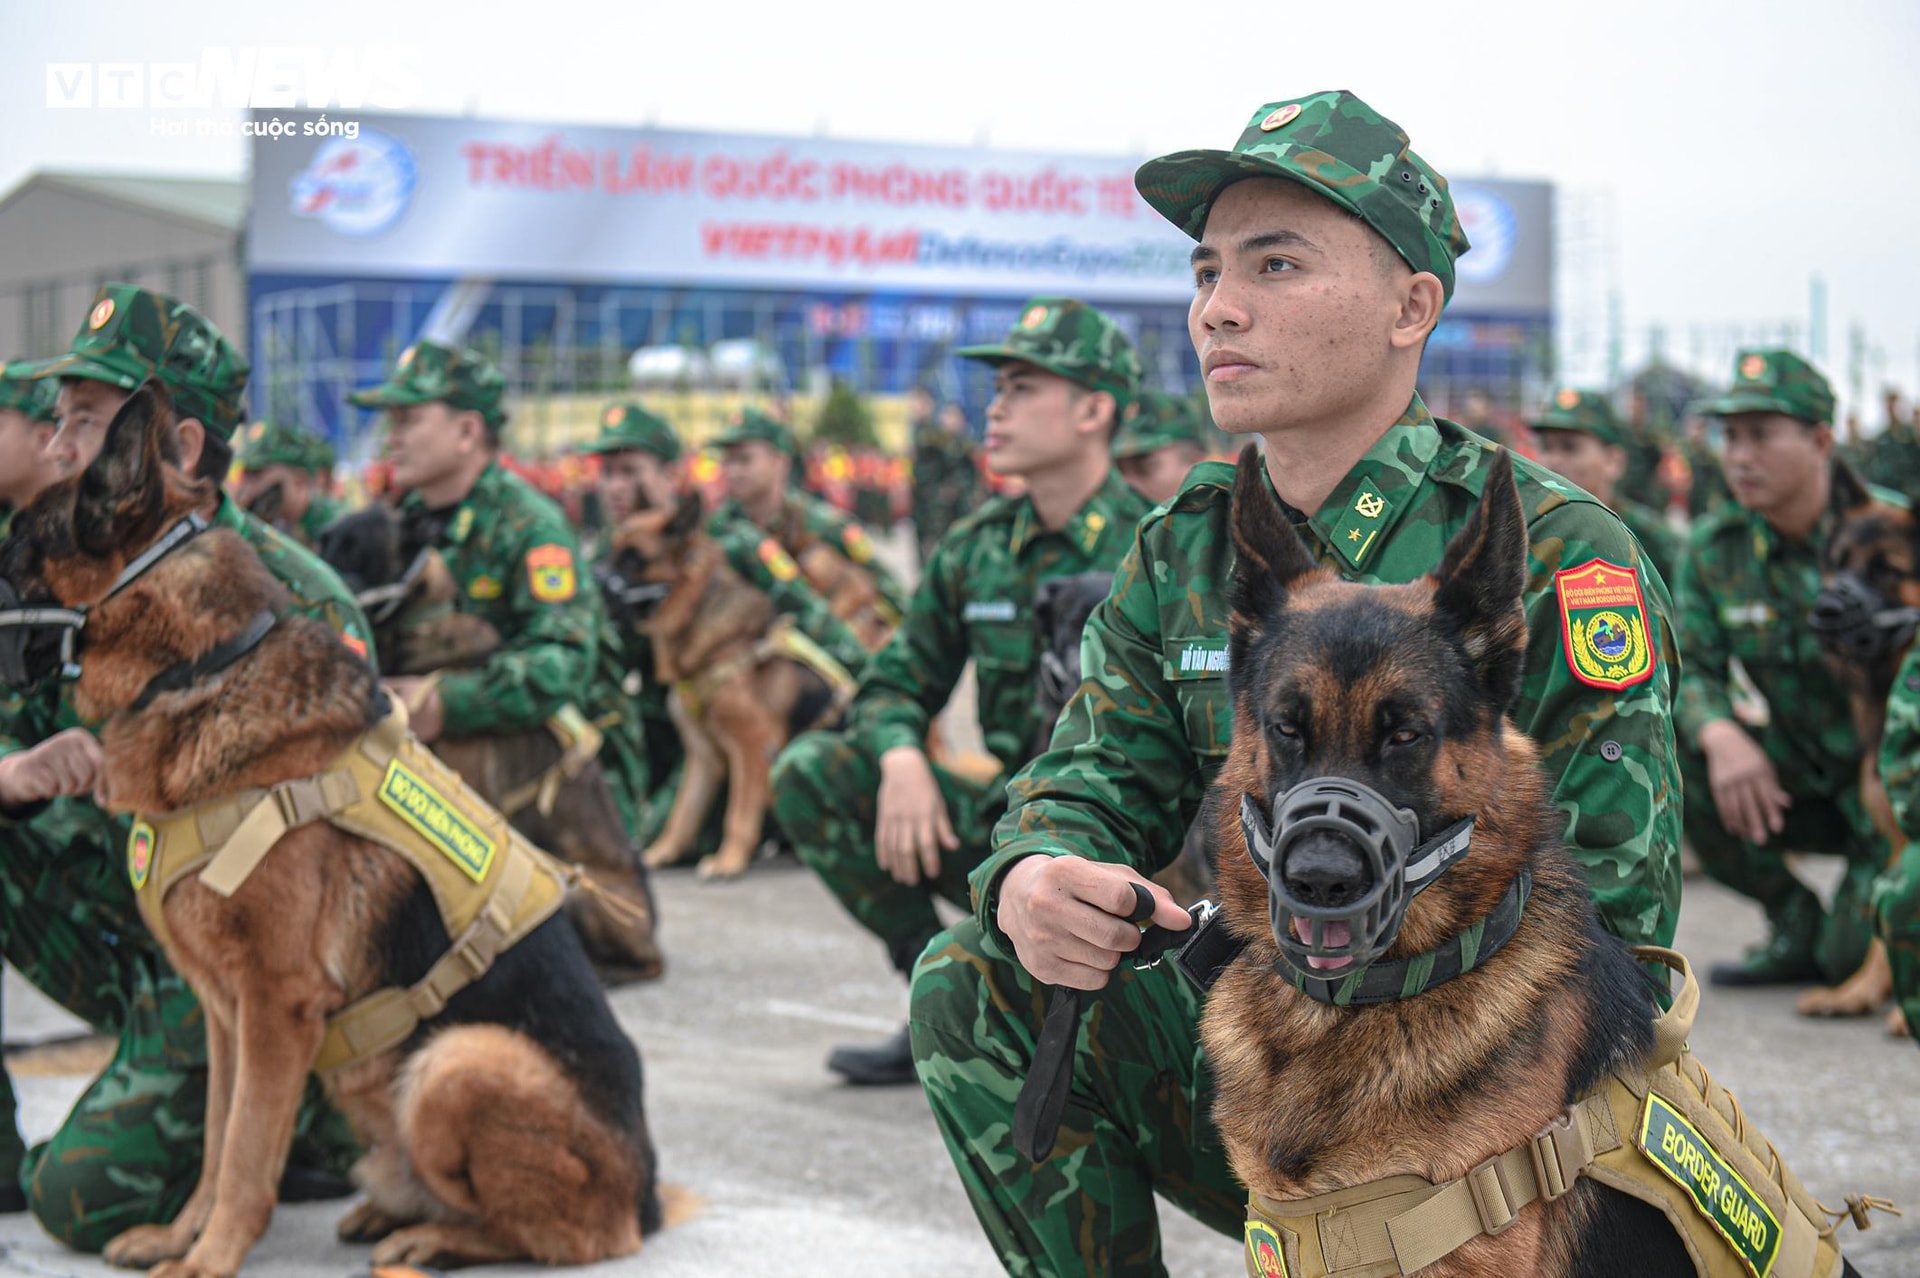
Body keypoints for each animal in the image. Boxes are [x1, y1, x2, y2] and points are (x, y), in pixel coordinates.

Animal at [606, 495, 848, 875]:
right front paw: (660, 852)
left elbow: (738, 814)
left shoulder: (754, 746)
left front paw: (728, 862)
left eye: (633, 559)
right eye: (612, 552)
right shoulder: (703, 755)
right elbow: (682, 813)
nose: (596, 581)